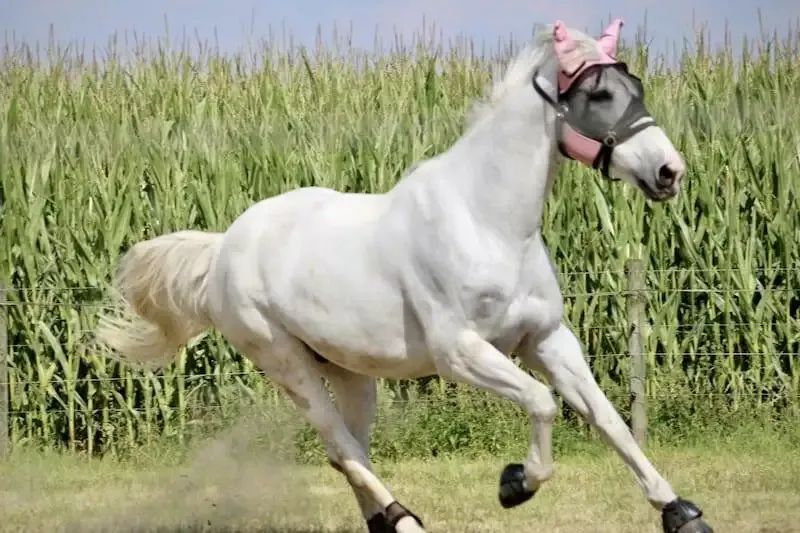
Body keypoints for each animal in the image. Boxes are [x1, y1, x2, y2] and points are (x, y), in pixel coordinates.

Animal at [94, 18, 714, 533]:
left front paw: (681, 514)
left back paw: (387, 523)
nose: (670, 172)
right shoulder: (461, 352)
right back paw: (407, 521)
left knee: (348, 450)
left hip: (349, 372)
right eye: (599, 94)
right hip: (286, 364)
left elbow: (609, 419)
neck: (487, 221)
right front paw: (515, 484)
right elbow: (542, 404)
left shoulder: (546, 339)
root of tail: (224, 246)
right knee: (343, 449)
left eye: (636, 87)